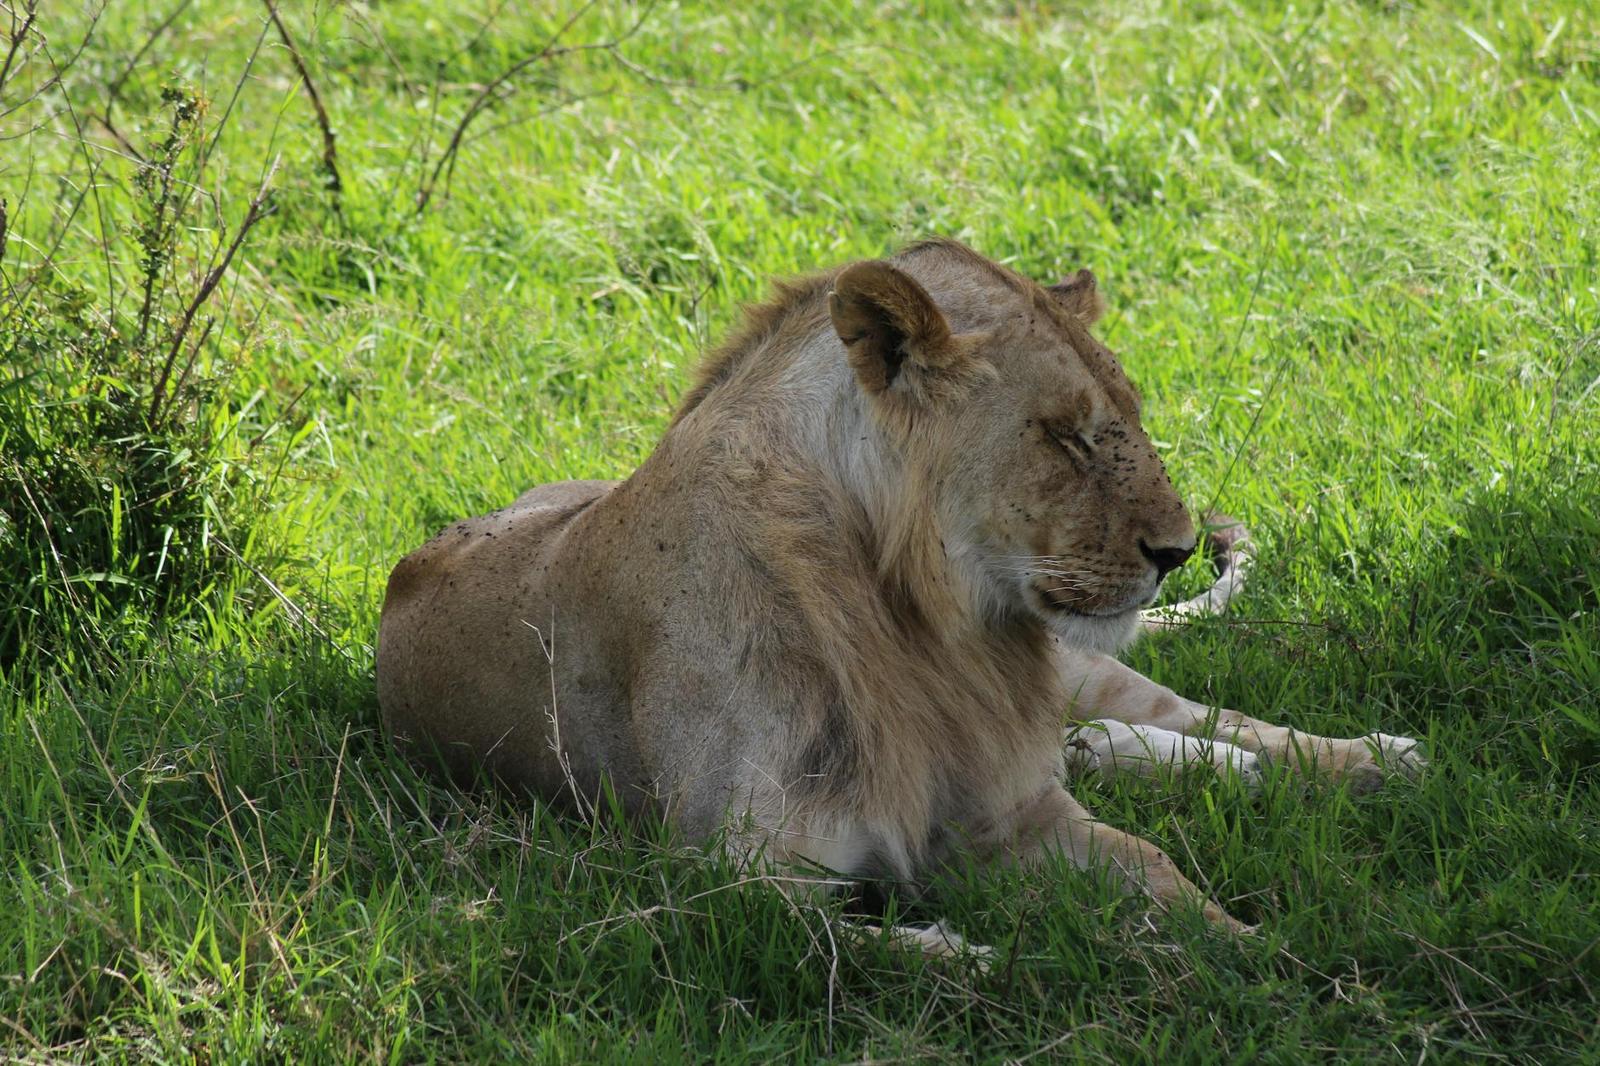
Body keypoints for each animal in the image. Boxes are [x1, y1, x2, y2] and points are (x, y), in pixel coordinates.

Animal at [377, 239, 1424, 942]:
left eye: (1130, 414)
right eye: (1066, 435)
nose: (1175, 548)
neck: (920, 624)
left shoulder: (1016, 807)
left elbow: (1165, 875)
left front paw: (1256, 958)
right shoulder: (730, 880)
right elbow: (883, 949)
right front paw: (974, 949)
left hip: (1086, 670)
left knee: (1206, 718)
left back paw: (1377, 758)